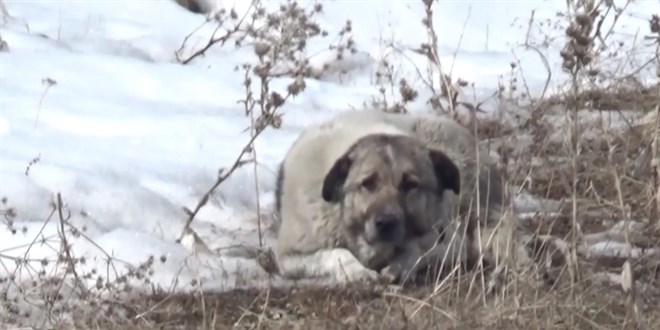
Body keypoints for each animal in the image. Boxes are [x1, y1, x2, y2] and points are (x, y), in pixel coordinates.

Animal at [270, 109, 528, 284]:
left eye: (410, 184)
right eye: (367, 183)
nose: (386, 223)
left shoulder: (438, 234)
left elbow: (418, 249)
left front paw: (400, 265)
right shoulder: (290, 257)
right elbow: (337, 254)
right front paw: (358, 272)